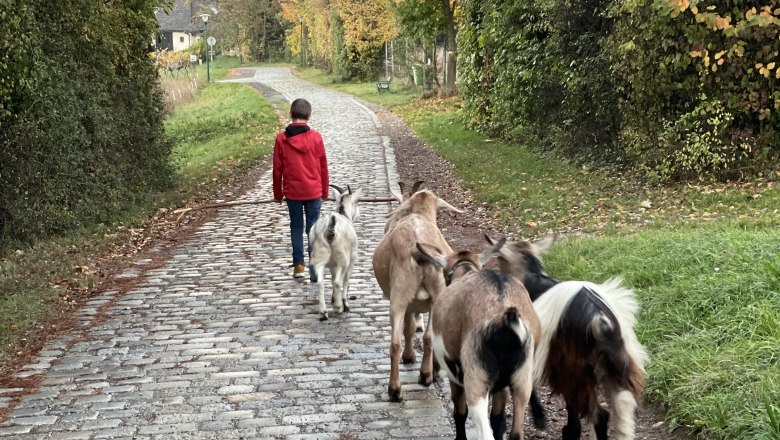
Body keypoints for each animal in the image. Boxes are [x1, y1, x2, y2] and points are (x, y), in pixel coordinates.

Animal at [308, 184, 362, 321]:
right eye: (357, 201)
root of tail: (329, 229)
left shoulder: (333, 264)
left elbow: (332, 278)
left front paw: (333, 298)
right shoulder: (351, 261)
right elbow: (345, 281)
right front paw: (344, 304)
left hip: (319, 257)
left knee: (320, 282)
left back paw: (323, 312)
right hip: (343, 258)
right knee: (338, 282)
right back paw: (339, 307)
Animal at [372, 188, 462, 401]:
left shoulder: (410, 305)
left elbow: (409, 328)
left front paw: (410, 356)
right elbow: (412, 329)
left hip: (400, 297)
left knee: (397, 342)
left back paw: (398, 388)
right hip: (431, 295)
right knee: (426, 338)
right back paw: (423, 376)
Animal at [413, 241, 542, 440]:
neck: (466, 270)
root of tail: (504, 321)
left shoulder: (455, 376)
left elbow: (460, 413)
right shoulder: (500, 387)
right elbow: (498, 420)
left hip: (476, 380)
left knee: (484, 431)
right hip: (522, 382)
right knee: (516, 432)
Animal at [487, 236, 648, 440]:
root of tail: (599, 321)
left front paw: (540, 418)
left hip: (573, 368)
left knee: (598, 413)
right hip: (616, 364)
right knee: (621, 407)